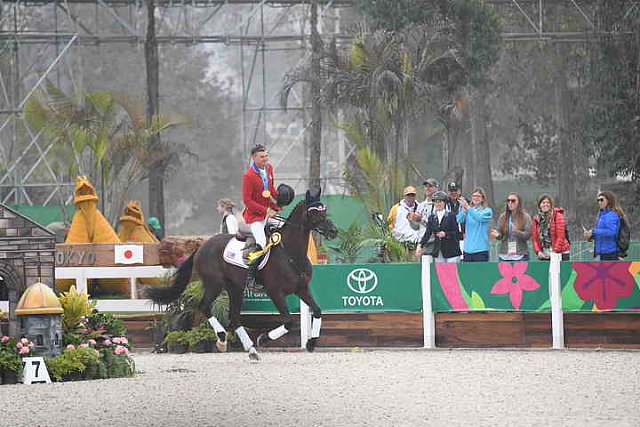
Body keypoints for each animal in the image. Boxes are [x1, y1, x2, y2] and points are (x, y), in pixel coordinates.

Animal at [147, 189, 338, 360]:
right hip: (214, 284)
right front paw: (263, 339)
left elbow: (317, 311)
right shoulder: (275, 292)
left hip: (235, 288)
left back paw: (251, 350)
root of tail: (202, 246)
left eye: (324, 210)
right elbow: (289, 322)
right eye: (313, 212)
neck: (290, 254)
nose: (333, 231)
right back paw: (223, 339)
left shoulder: (301, 289)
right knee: (204, 307)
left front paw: (311, 343)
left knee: (234, 318)